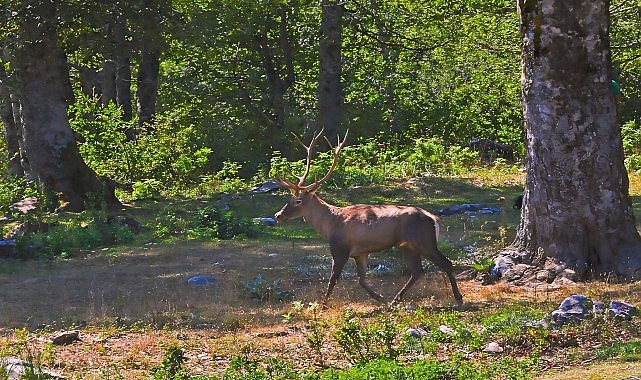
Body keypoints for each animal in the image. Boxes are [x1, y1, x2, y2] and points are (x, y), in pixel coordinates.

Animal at [272, 130, 462, 306]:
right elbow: (361, 280)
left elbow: (333, 280)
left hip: (424, 241)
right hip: (408, 245)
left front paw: (322, 306)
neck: (330, 224)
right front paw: (380, 298)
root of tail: (434, 219)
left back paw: (458, 298)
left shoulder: (340, 248)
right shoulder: (360, 253)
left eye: (297, 201)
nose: (278, 215)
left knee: (446, 263)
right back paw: (395, 300)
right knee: (417, 271)